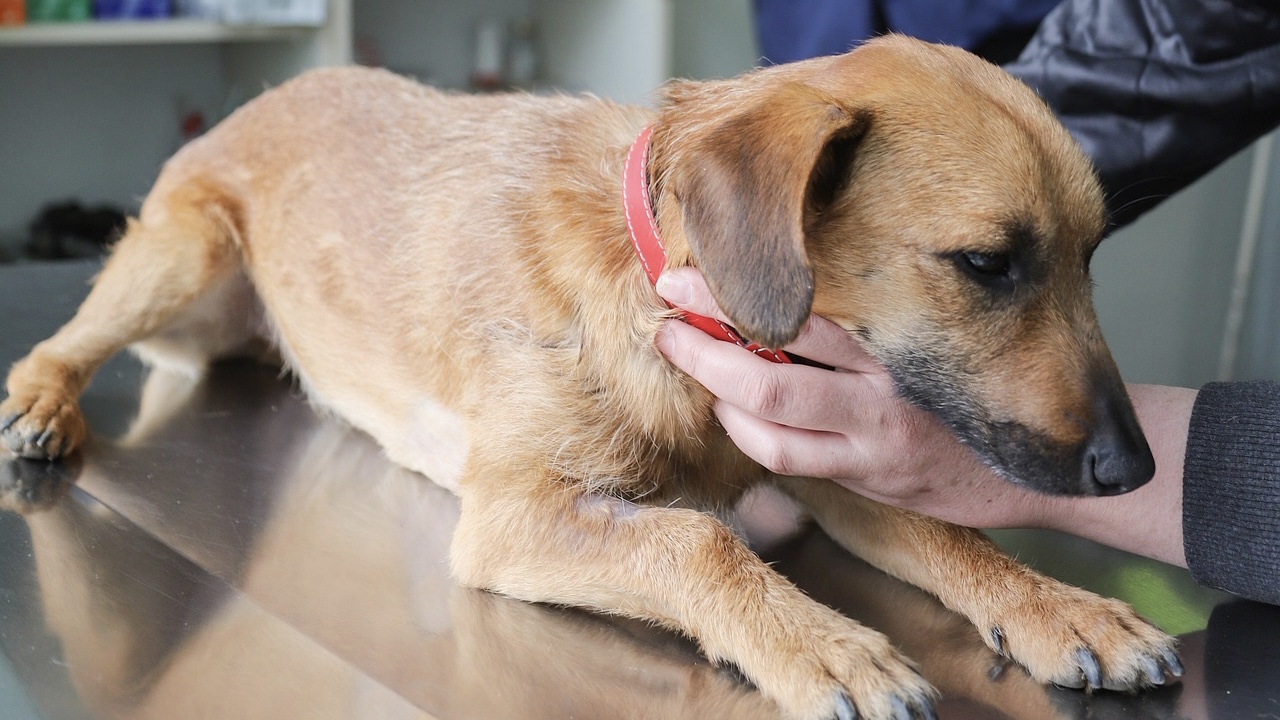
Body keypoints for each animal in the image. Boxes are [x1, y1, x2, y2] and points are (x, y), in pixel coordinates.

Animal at [0, 37, 1177, 717]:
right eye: (984, 264)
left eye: (1091, 255)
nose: (1135, 471)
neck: (667, 293)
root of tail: (269, 90)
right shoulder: (513, 518)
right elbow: (700, 542)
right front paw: (825, 646)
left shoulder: (820, 449)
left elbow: (951, 537)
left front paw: (1063, 609)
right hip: (182, 251)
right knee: (59, 343)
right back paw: (43, 406)